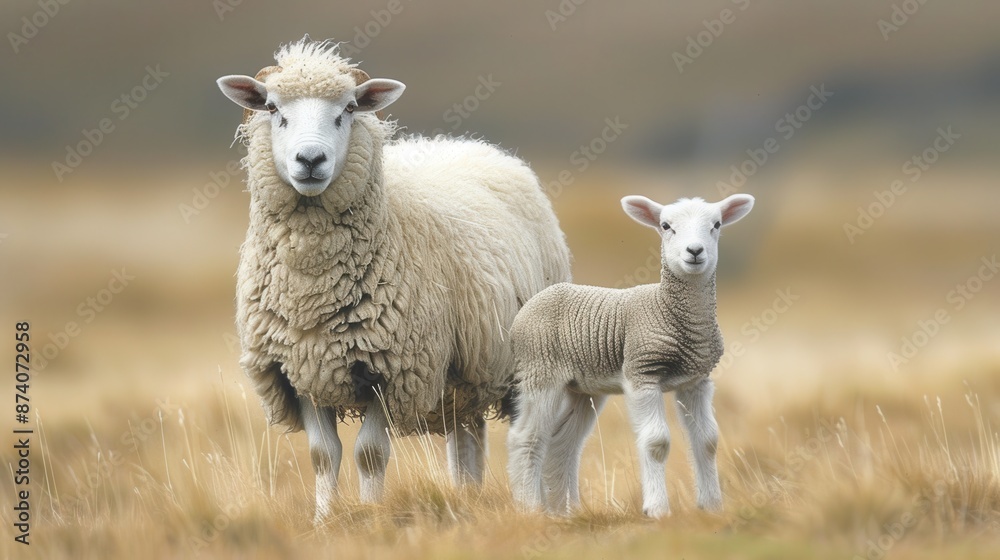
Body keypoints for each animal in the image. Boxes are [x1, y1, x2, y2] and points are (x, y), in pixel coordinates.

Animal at [216, 38, 571, 521]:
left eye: (348, 109)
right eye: (272, 108)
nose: (310, 160)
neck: (312, 287)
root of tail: (470, 145)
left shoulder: (394, 369)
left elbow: (370, 454)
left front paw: (370, 515)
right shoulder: (298, 371)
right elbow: (322, 455)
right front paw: (324, 521)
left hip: (522, 363)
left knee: (525, 436)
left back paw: (528, 505)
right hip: (465, 374)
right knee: (467, 441)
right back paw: (466, 497)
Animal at [506, 193, 754, 518]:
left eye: (717, 224)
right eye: (666, 226)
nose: (695, 251)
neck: (667, 309)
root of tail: (526, 309)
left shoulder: (696, 381)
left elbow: (707, 441)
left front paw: (711, 507)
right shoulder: (642, 371)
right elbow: (656, 442)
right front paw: (657, 509)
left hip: (583, 388)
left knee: (563, 443)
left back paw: (567, 512)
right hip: (540, 371)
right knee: (526, 438)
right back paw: (531, 509)